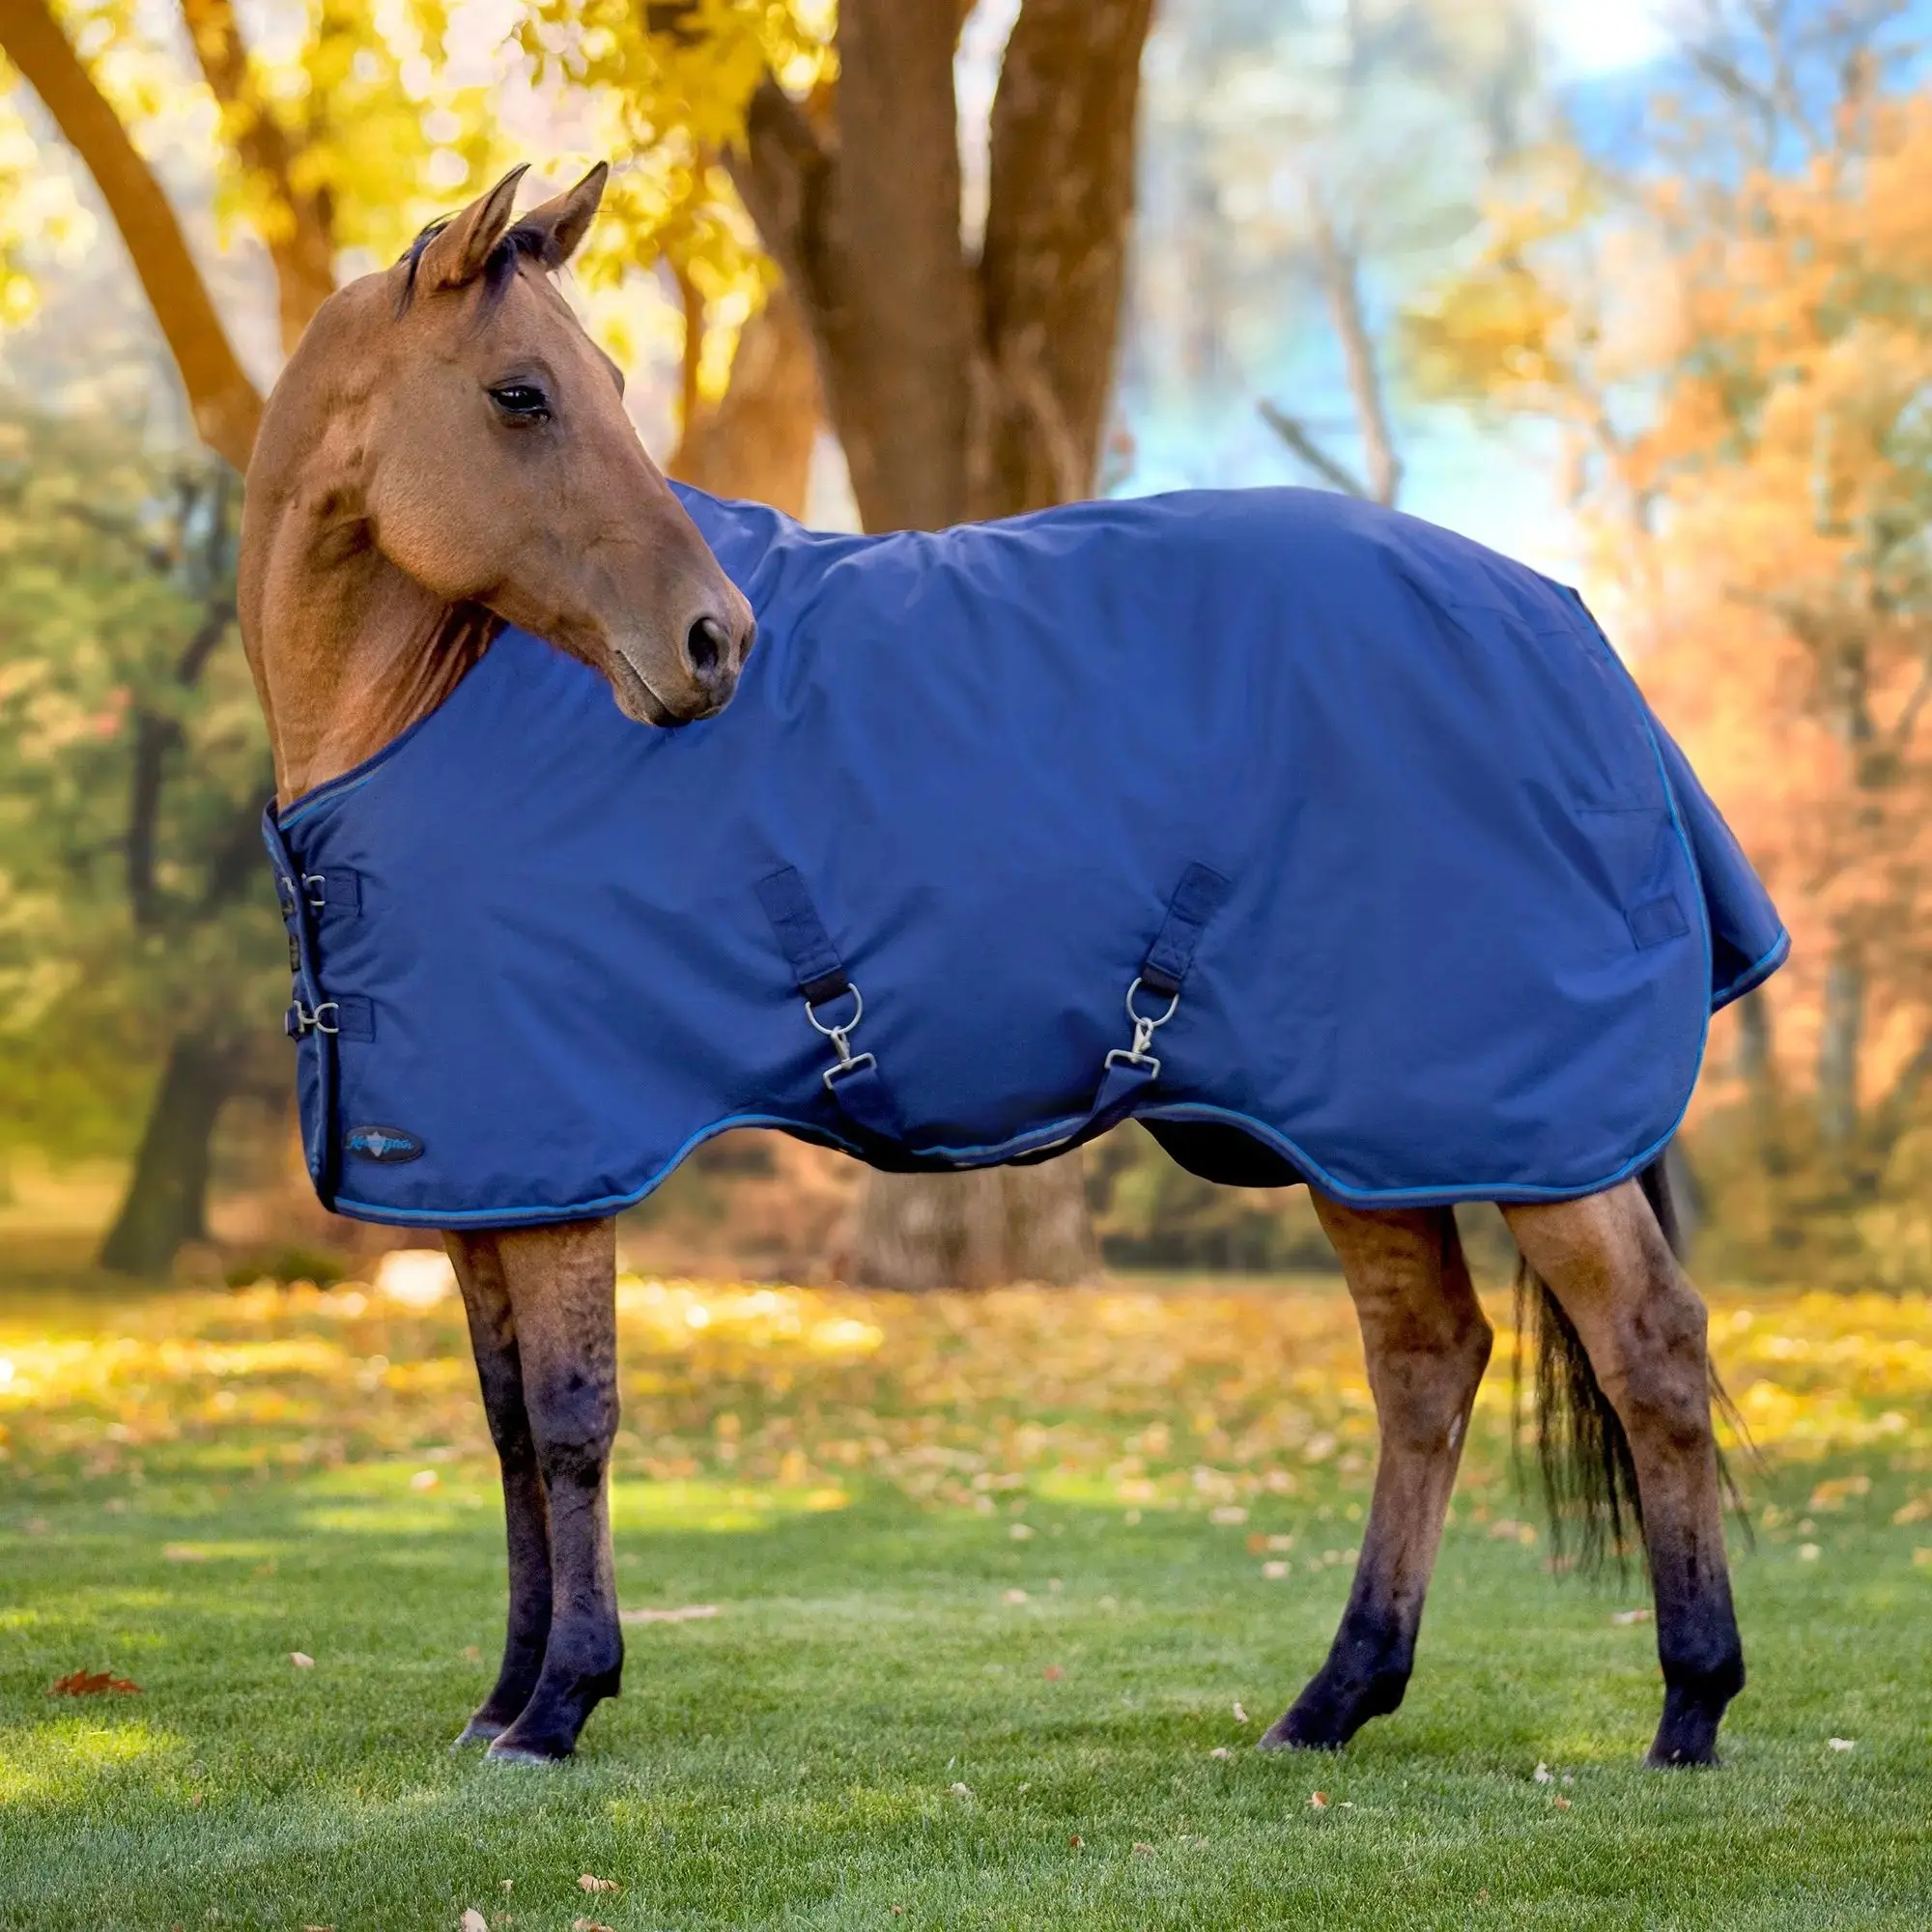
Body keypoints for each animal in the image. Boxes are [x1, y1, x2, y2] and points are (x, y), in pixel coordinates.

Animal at [239, 164, 1774, 1769]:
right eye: (524, 394)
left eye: (601, 383)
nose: (715, 642)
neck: (415, 722)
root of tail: (1564, 625)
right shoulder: (482, 1175)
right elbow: (505, 1426)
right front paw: (501, 1702)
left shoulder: (561, 1158)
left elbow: (572, 1418)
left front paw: (559, 1704)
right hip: (1370, 1134)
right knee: (1425, 1362)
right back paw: (1336, 1700)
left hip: (1518, 1126)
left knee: (1651, 1349)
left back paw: (1690, 1706)